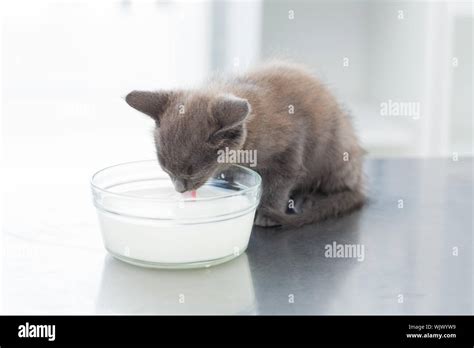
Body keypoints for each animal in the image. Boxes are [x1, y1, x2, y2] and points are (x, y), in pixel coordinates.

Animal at [126, 61, 366, 227]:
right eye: (165, 169)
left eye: (192, 173)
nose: (180, 189)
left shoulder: (290, 149)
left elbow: (279, 183)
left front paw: (267, 213)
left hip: (336, 151)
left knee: (345, 189)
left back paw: (311, 199)